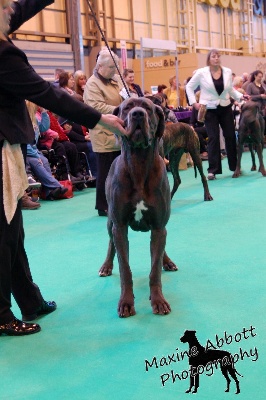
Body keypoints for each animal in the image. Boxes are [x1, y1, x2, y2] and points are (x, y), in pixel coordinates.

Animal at [97, 97, 177, 318]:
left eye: (148, 108)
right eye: (127, 108)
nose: (138, 114)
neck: (139, 164)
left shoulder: (159, 226)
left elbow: (155, 268)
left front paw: (158, 301)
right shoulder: (120, 226)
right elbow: (125, 268)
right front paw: (126, 302)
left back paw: (168, 261)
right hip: (110, 222)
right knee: (111, 244)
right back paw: (106, 266)